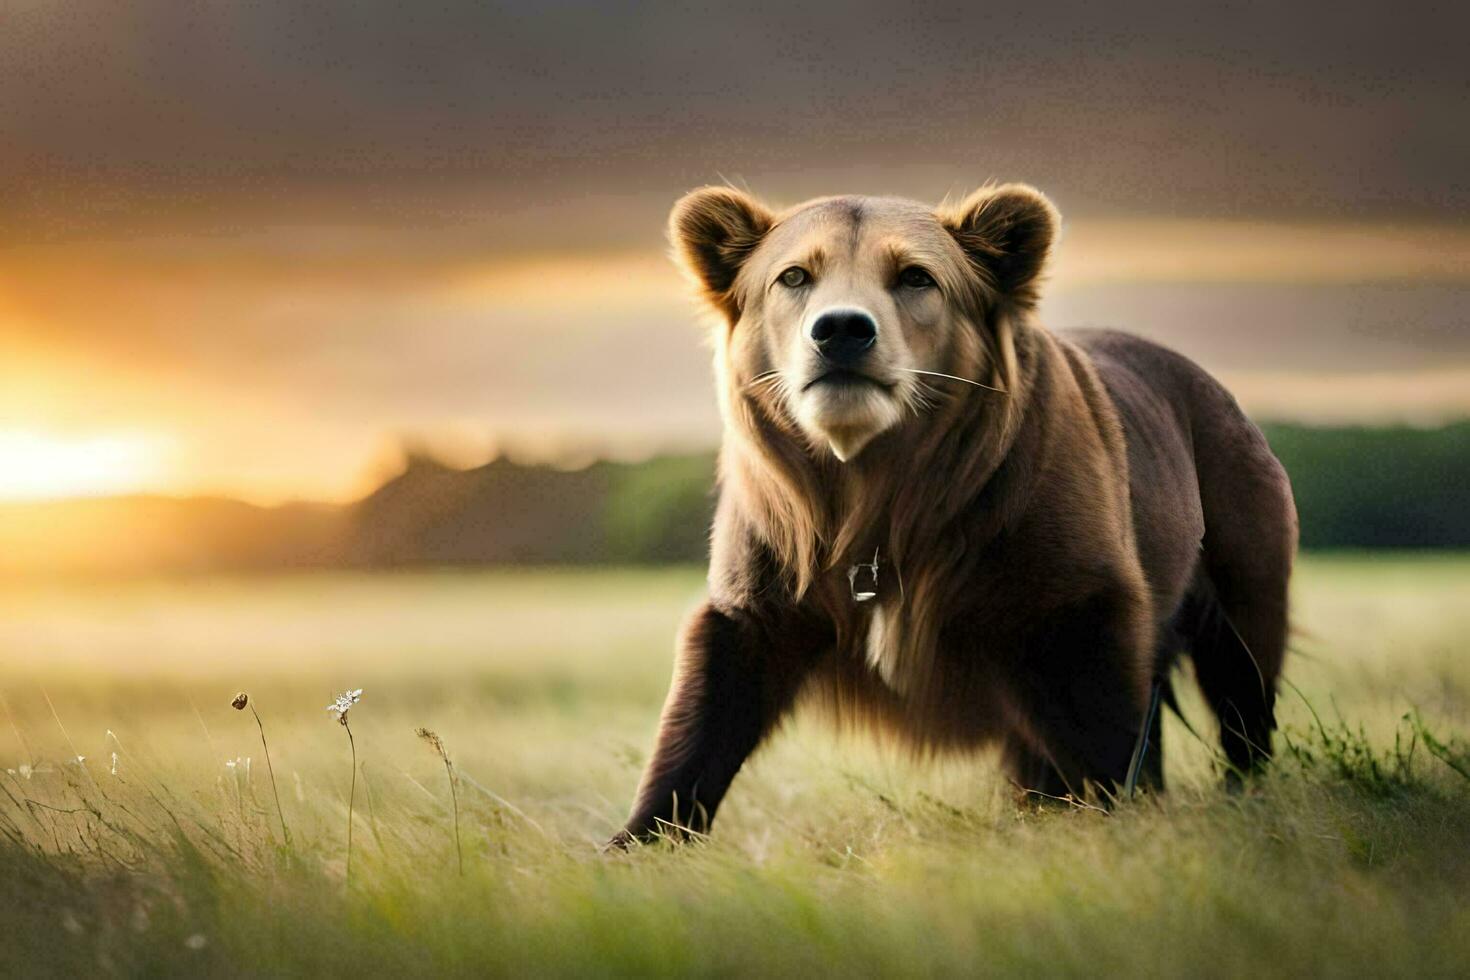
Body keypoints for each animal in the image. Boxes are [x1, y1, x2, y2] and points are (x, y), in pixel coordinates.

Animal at [602, 188, 1293, 846]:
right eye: (794, 275)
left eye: (915, 276)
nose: (842, 330)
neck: (874, 490)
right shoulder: (771, 576)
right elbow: (706, 714)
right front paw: (637, 841)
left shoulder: (1065, 591)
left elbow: (1104, 721)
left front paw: (1130, 814)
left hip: (1236, 546)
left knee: (1242, 676)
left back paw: (1244, 788)